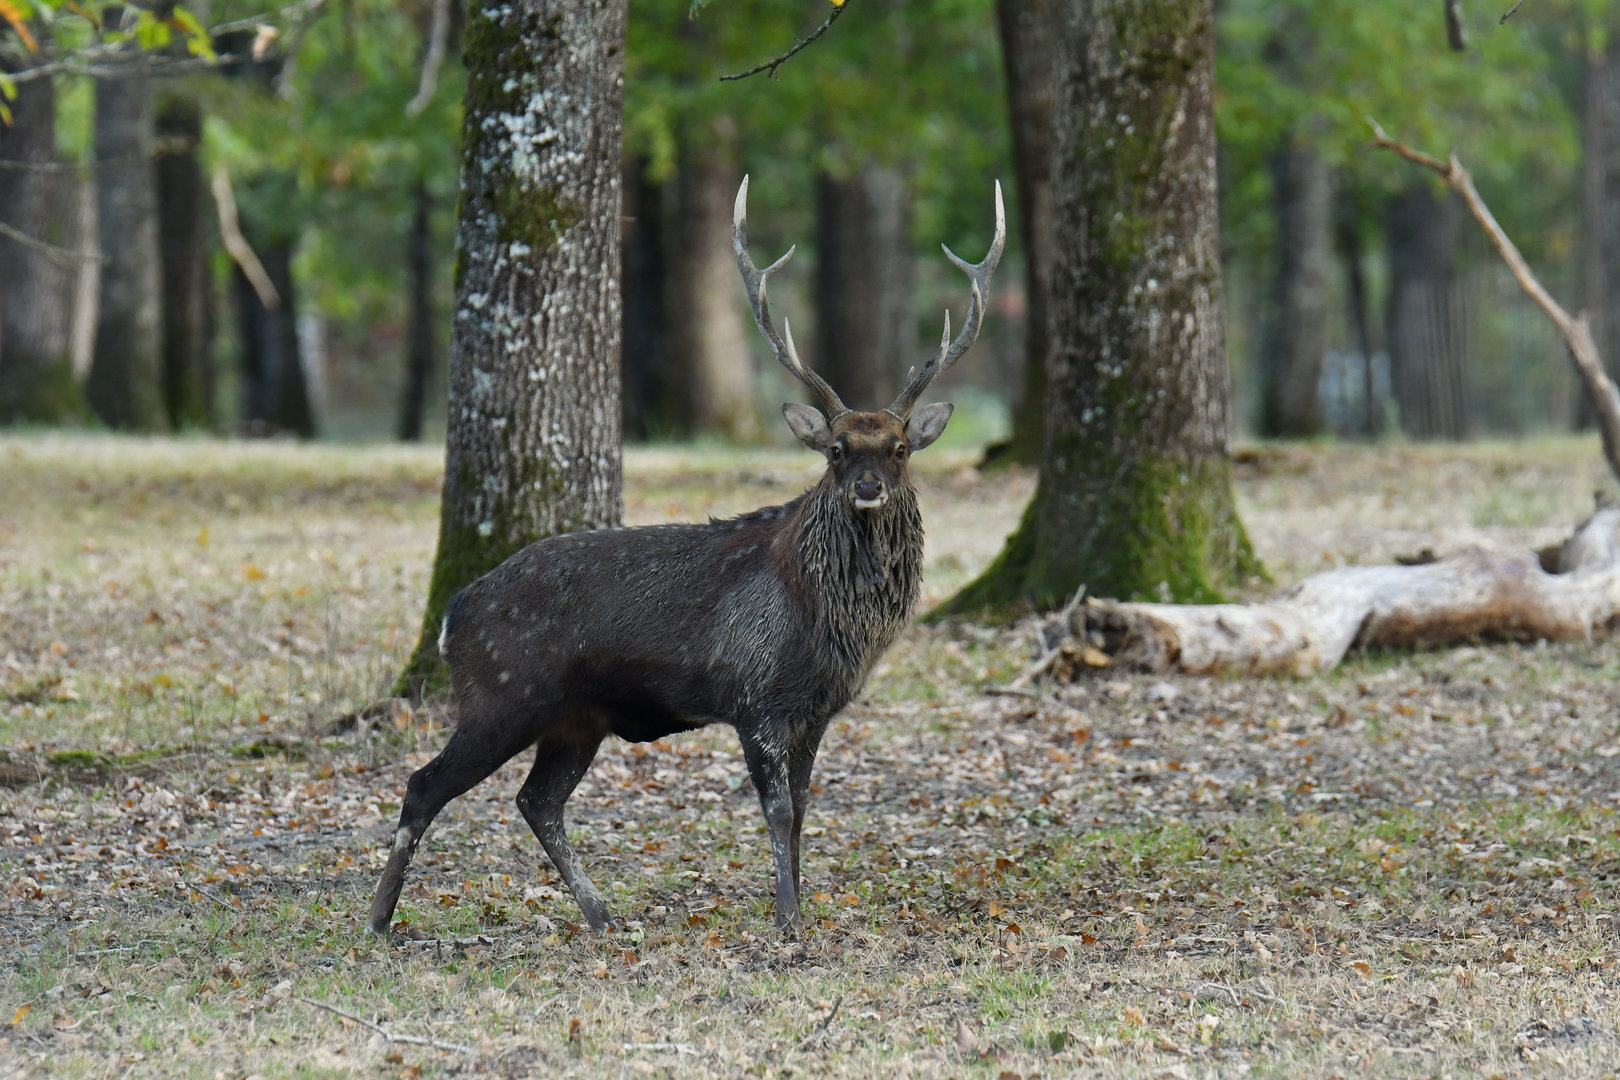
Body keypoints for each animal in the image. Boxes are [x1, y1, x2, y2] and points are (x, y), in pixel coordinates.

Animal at [367, 177, 1004, 937]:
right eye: (837, 449)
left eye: (901, 447)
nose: (869, 487)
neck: (826, 621)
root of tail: (453, 612)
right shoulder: (755, 697)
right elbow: (778, 810)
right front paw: (787, 920)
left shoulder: (814, 711)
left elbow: (803, 811)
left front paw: (800, 906)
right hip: (503, 693)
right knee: (424, 784)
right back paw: (377, 920)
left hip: (576, 717)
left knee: (536, 800)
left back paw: (601, 914)